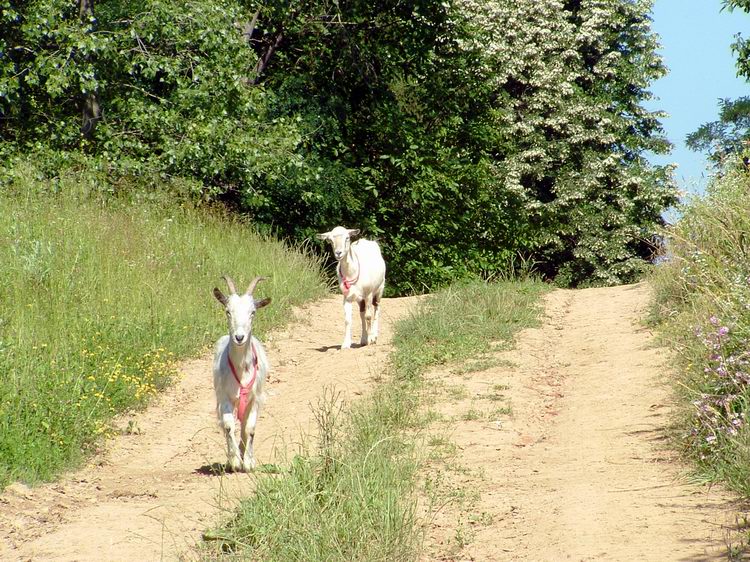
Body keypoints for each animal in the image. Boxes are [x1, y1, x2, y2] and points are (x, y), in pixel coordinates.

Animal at [213, 274, 272, 470]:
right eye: (228, 311)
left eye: (253, 312)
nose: (239, 337)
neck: (241, 369)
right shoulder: (224, 396)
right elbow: (229, 426)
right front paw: (234, 461)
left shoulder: (256, 398)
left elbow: (250, 428)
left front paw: (248, 462)